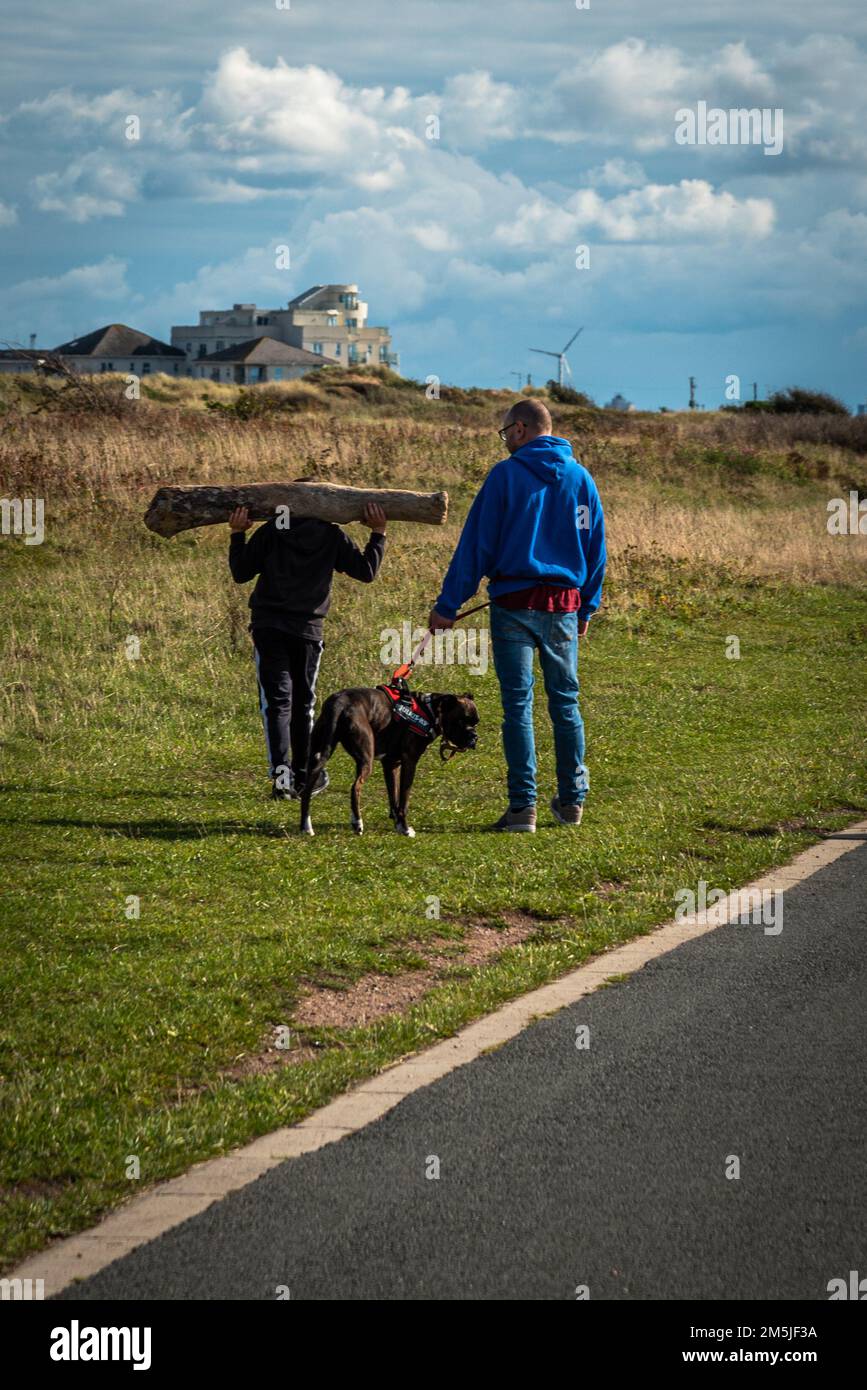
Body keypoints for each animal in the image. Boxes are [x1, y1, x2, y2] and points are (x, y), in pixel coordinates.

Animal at [300, 683, 480, 834]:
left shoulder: (391, 764)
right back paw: (357, 822)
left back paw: (306, 827)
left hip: (319, 755)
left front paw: (398, 825)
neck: (430, 711)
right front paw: (405, 828)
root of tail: (340, 702)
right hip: (365, 759)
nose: (474, 737)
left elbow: (394, 797)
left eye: (476, 723)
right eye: (461, 720)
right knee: (355, 787)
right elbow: (404, 799)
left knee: (307, 788)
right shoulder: (409, 762)